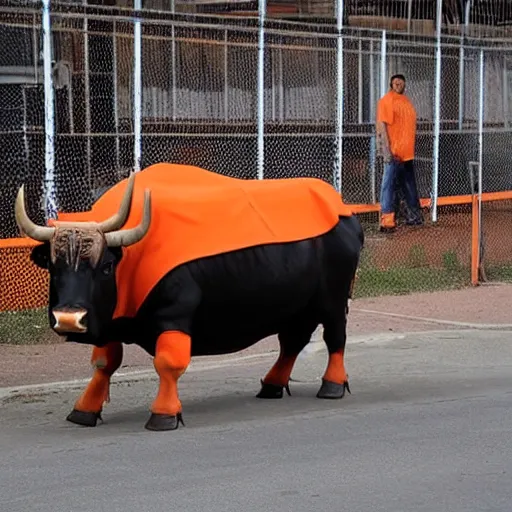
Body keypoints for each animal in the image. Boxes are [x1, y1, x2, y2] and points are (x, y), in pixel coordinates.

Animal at [13, 164, 364, 432]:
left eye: (105, 266)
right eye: (53, 266)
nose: (69, 319)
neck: (134, 253)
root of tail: (343, 211)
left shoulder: (175, 316)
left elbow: (168, 363)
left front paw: (164, 413)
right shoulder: (110, 319)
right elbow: (104, 363)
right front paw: (84, 408)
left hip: (333, 300)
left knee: (335, 338)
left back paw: (332, 385)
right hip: (296, 306)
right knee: (292, 341)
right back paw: (272, 384)